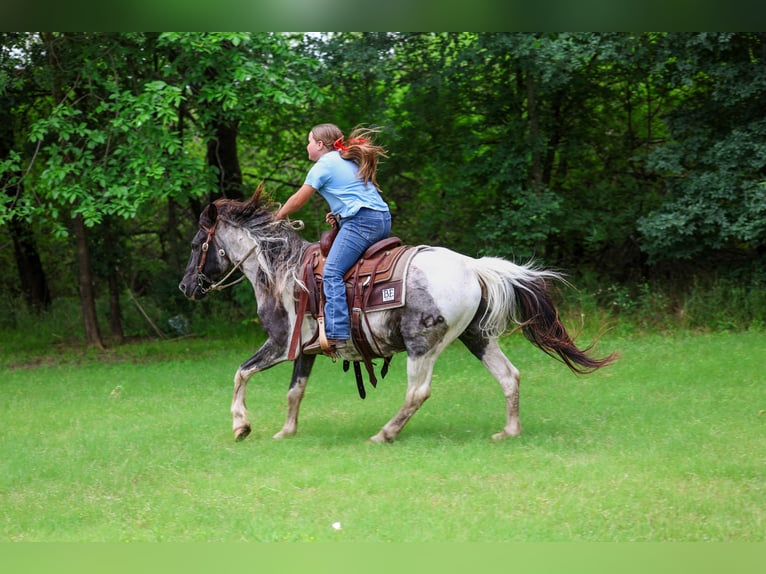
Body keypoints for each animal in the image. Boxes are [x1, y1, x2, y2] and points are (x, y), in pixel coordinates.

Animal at [178, 188, 617, 443]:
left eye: (198, 243)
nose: (185, 287)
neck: (281, 272)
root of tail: (473, 266)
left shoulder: (279, 342)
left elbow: (241, 373)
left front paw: (241, 425)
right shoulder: (304, 349)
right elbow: (294, 390)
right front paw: (286, 432)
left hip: (423, 344)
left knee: (417, 392)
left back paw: (385, 434)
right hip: (476, 336)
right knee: (509, 376)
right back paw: (509, 431)